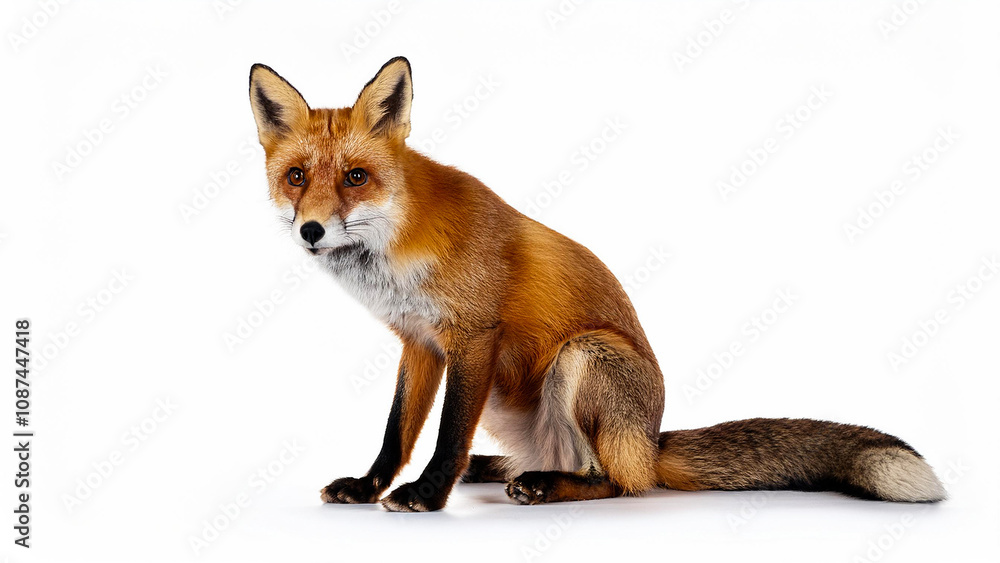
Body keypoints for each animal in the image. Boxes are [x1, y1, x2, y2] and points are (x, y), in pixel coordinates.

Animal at [248, 59, 944, 512]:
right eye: (296, 176)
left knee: (616, 479)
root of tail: (651, 440)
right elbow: (397, 432)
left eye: (356, 177)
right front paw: (372, 487)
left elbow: (446, 433)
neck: (397, 253)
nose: (310, 230)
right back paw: (502, 468)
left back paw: (549, 485)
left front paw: (426, 493)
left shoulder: (473, 336)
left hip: (581, 358)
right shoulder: (419, 343)